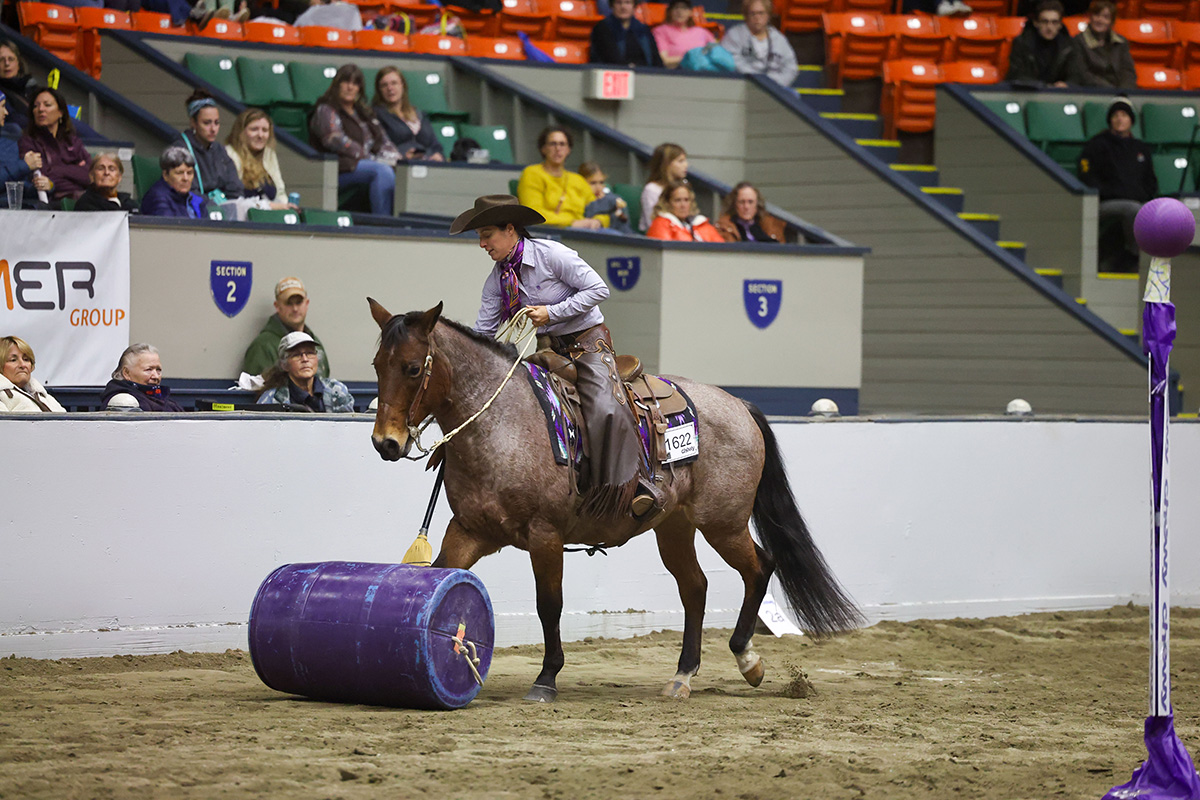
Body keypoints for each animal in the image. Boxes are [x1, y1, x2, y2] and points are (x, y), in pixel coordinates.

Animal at [367, 298, 864, 700]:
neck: (503, 422)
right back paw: (683, 676)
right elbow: (441, 574)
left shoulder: (545, 535)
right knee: (695, 587)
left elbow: (549, 604)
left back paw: (748, 660)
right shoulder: (469, 530)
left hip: (723, 522)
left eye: (413, 368)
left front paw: (546, 679)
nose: (385, 443)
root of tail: (738, 404)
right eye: (376, 365)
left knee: (760, 567)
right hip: (675, 526)